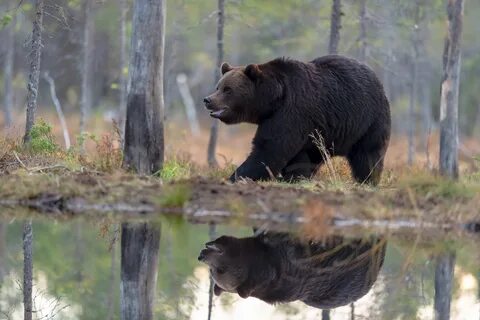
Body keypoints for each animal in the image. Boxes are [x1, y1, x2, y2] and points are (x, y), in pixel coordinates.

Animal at [202, 55, 390, 185]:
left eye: (228, 89)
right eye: (218, 87)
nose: (208, 99)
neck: (273, 100)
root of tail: (378, 80)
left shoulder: (292, 111)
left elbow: (270, 148)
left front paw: (235, 176)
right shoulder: (296, 123)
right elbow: (296, 156)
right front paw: (293, 177)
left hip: (368, 120)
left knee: (367, 154)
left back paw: (367, 180)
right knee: (315, 155)